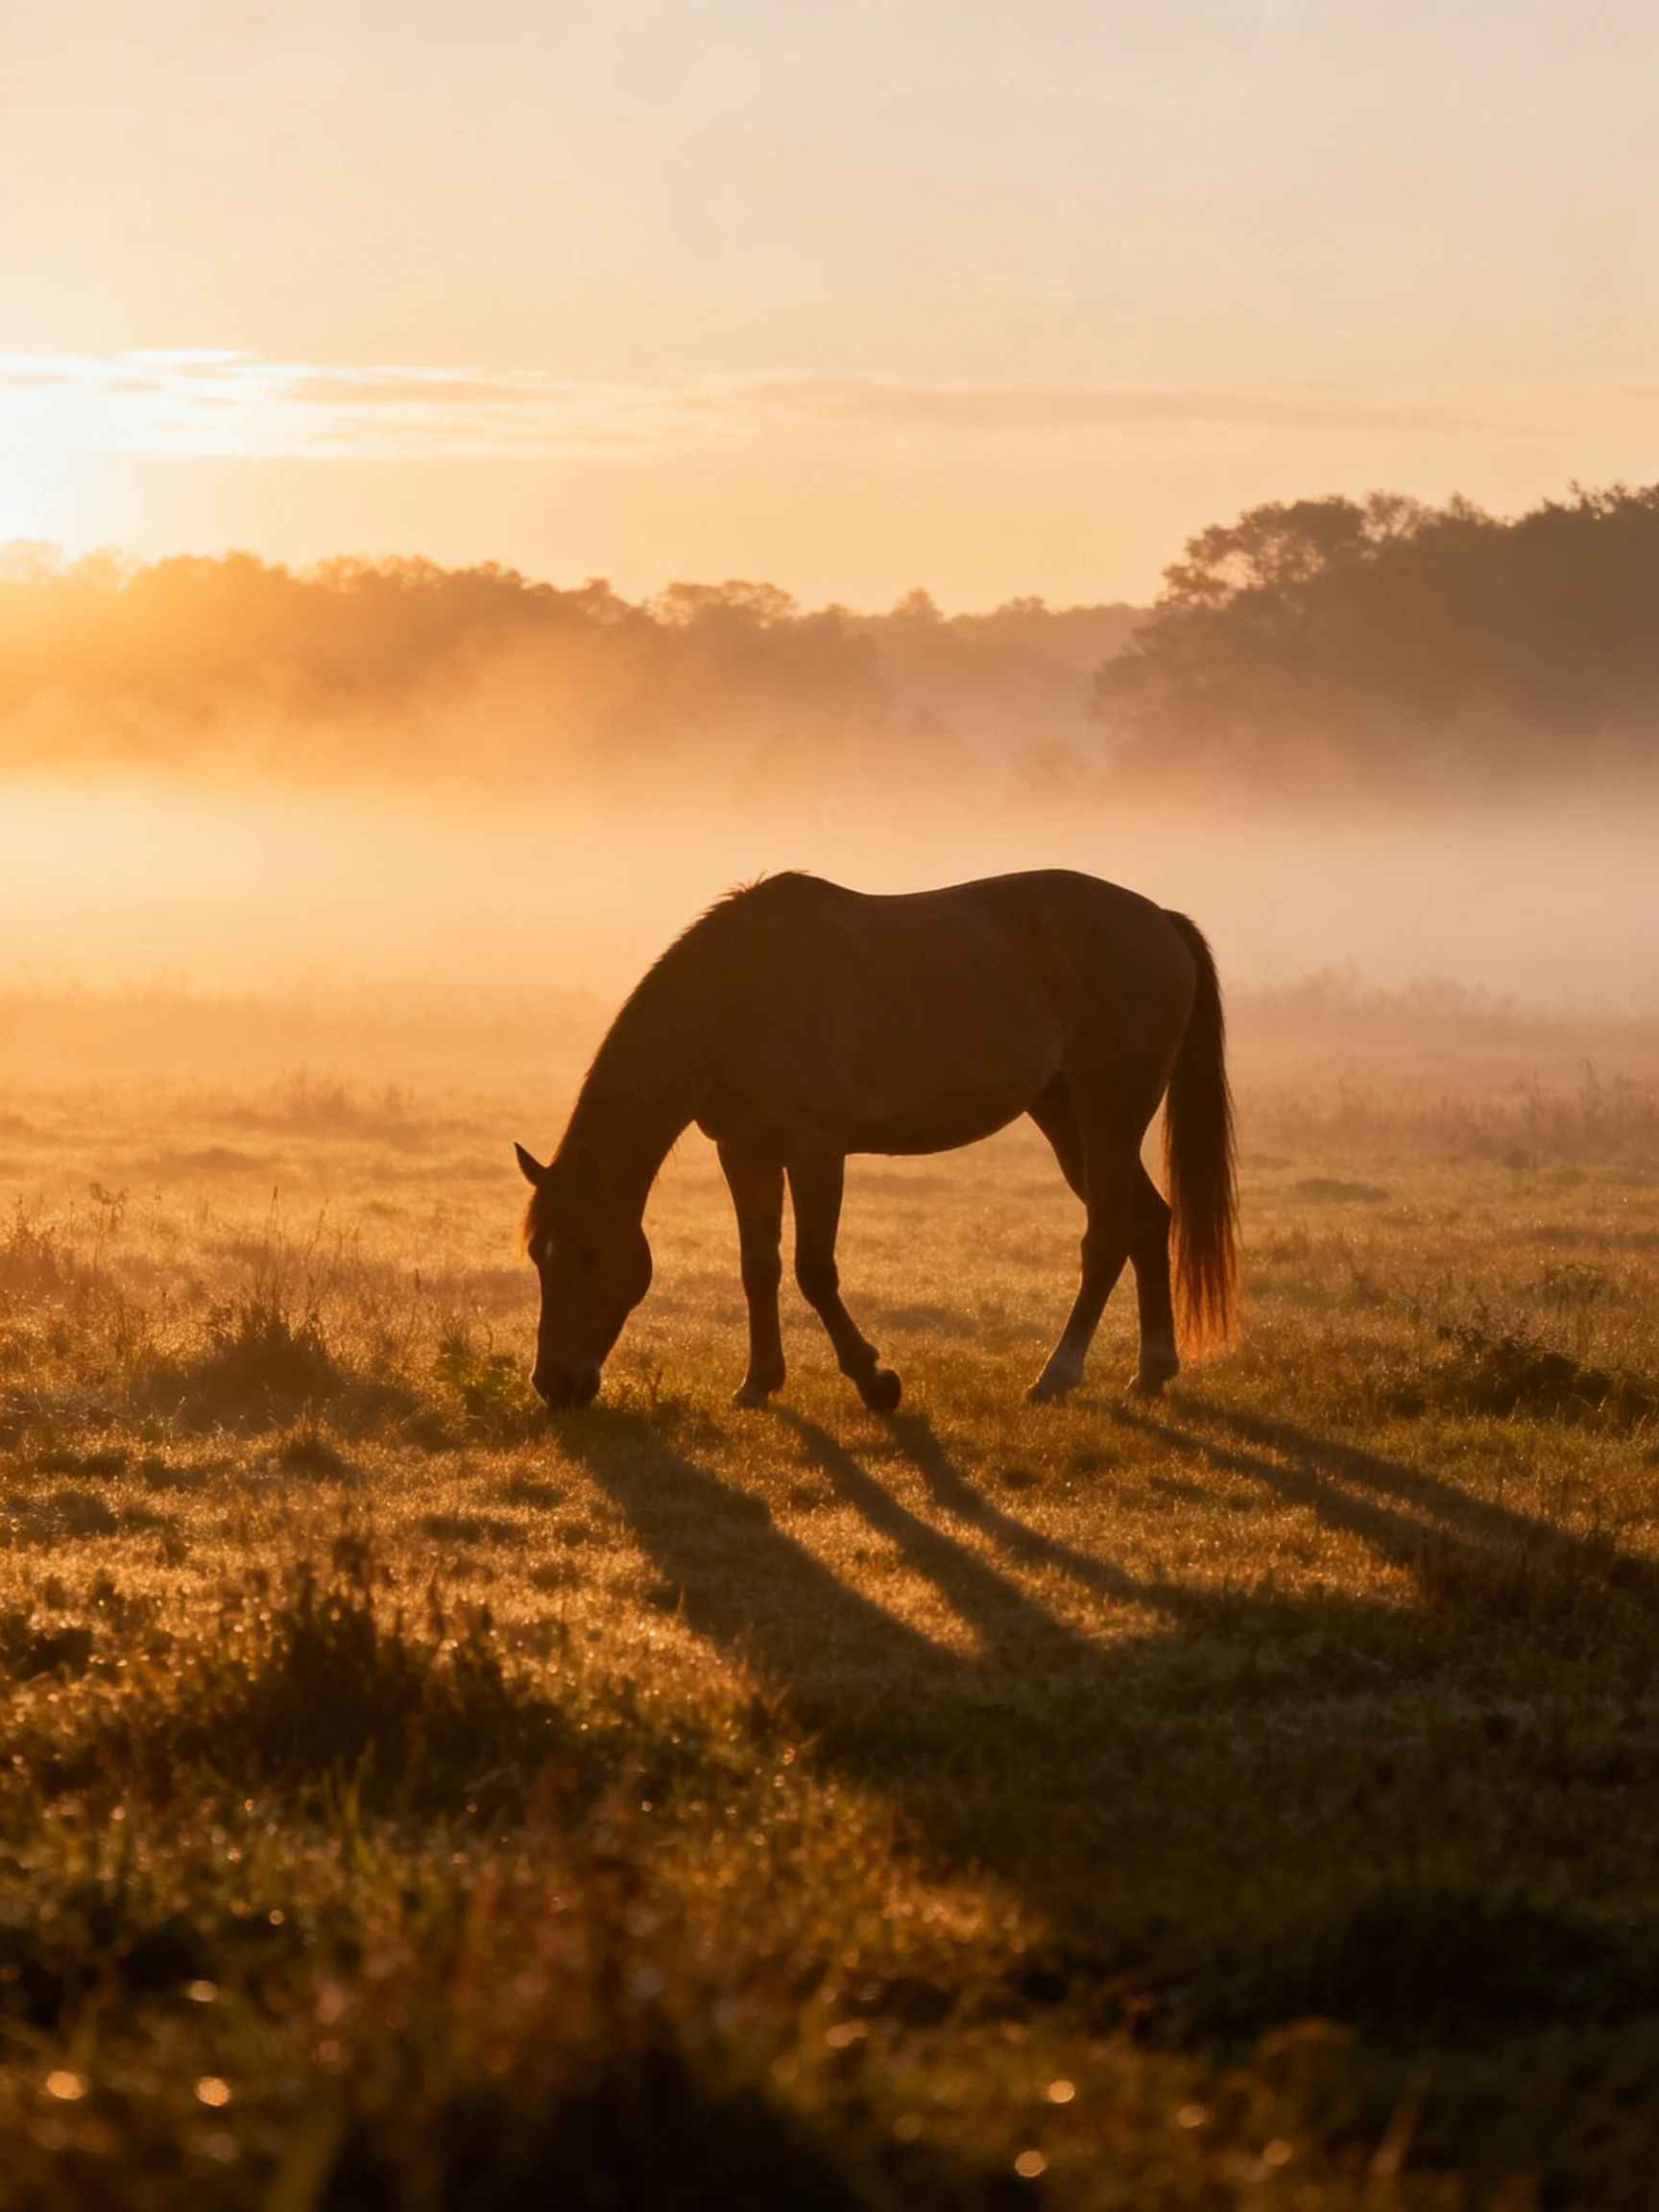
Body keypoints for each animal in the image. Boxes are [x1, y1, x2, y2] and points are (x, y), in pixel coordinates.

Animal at [516, 869, 1236, 1413]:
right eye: (536, 1255)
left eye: (587, 1252)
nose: (555, 1384)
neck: (742, 997)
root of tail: (1160, 920)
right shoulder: (744, 1152)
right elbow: (759, 1266)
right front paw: (758, 1383)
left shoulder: (816, 1150)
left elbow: (814, 1269)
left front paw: (876, 1380)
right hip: (1065, 1118)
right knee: (1149, 1220)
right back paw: (1152, 1369)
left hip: (1108, 1114)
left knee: (1108, 1236)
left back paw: (1058, 1374)